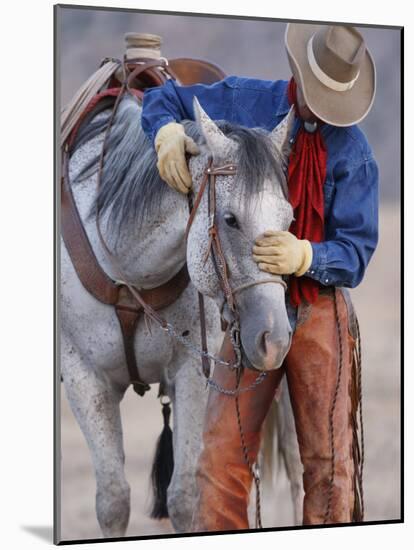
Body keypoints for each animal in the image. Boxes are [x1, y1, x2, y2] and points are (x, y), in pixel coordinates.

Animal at [59, 95, 302, 540]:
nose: (274, 340)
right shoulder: (85, 377)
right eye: (230, 219)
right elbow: (113, 500)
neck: (129, 271)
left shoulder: (192, 371)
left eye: (289, 220)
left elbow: (185, 497)